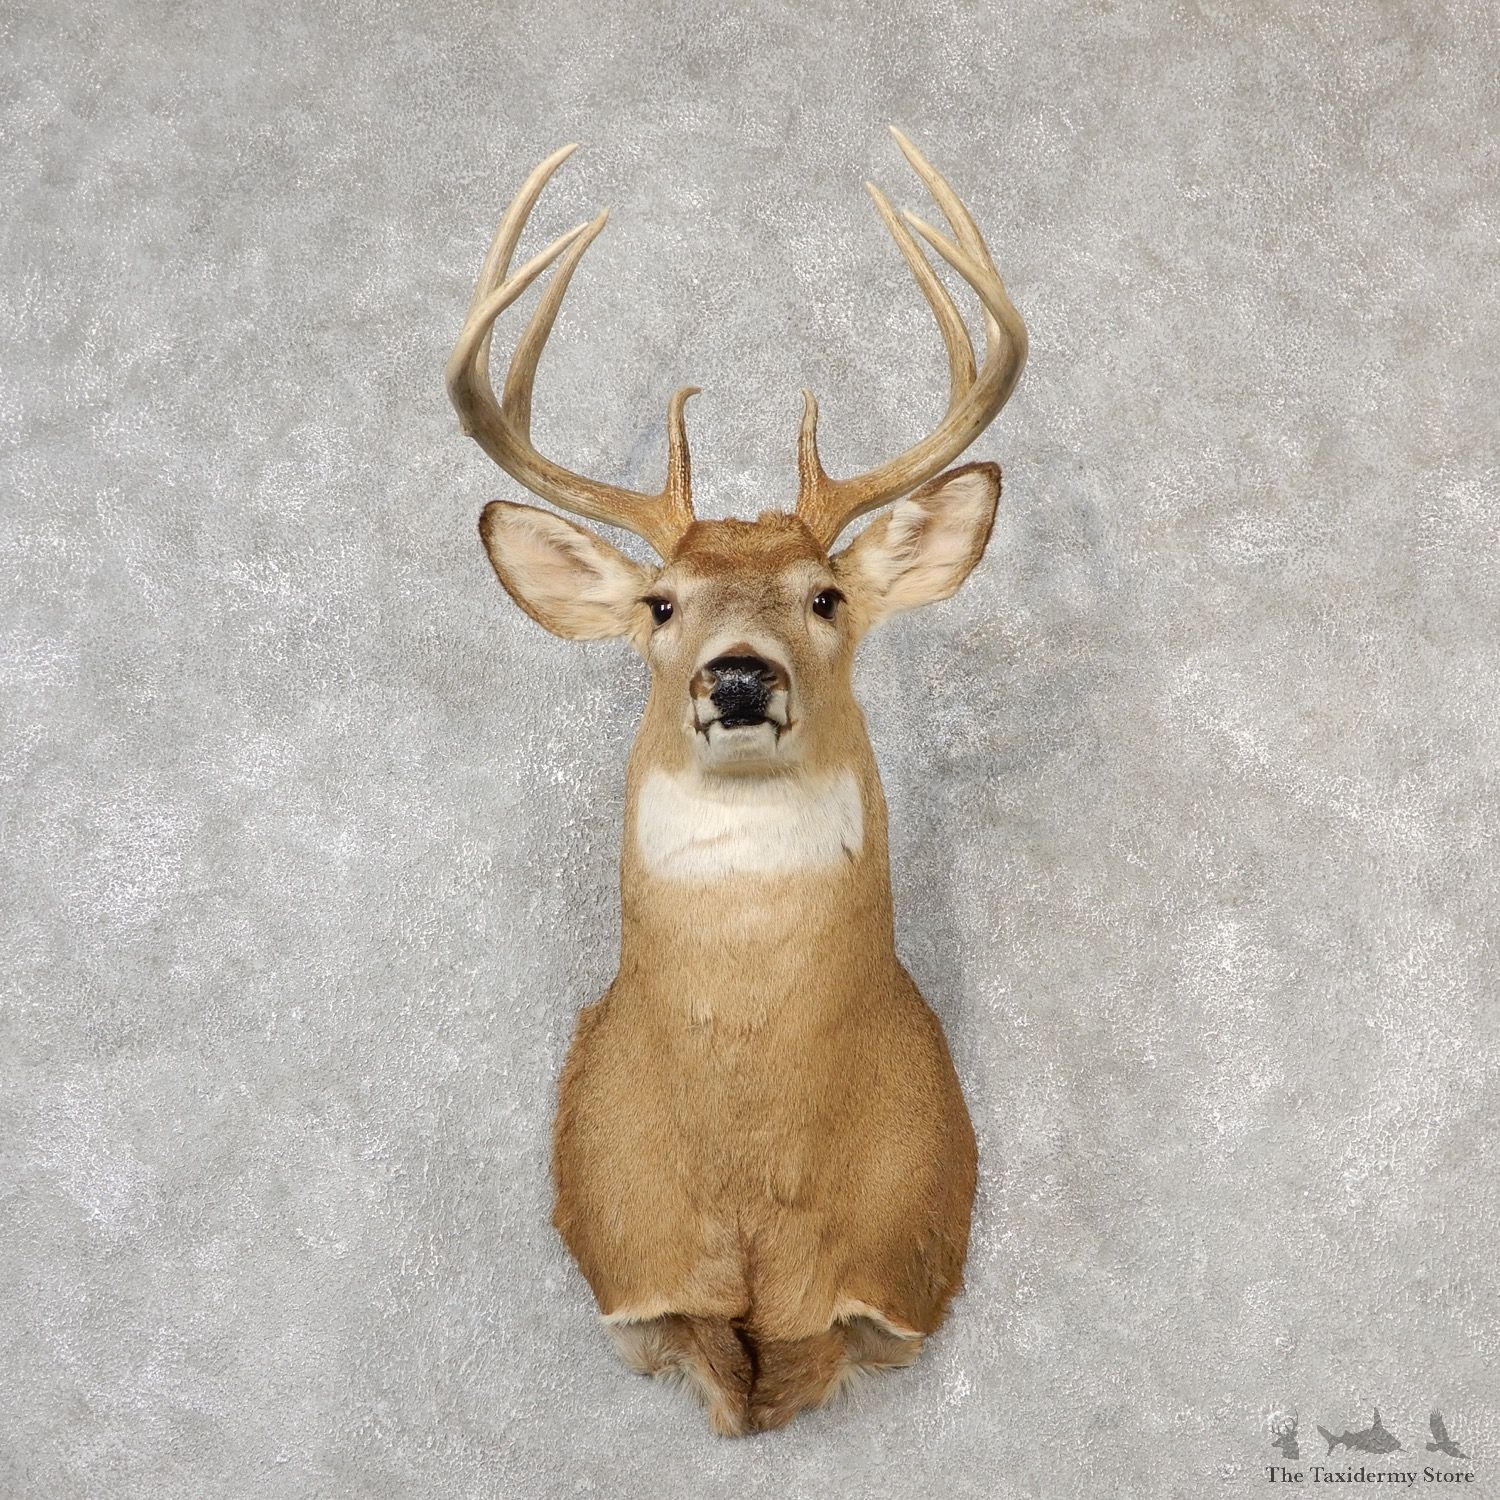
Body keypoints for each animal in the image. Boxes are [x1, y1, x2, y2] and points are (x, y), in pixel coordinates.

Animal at [446, 128, 1027, 1435]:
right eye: (662, 603)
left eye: (828, 594)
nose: (743, 676)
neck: (753, 1172)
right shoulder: (631, 1263)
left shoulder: (901, 1266)